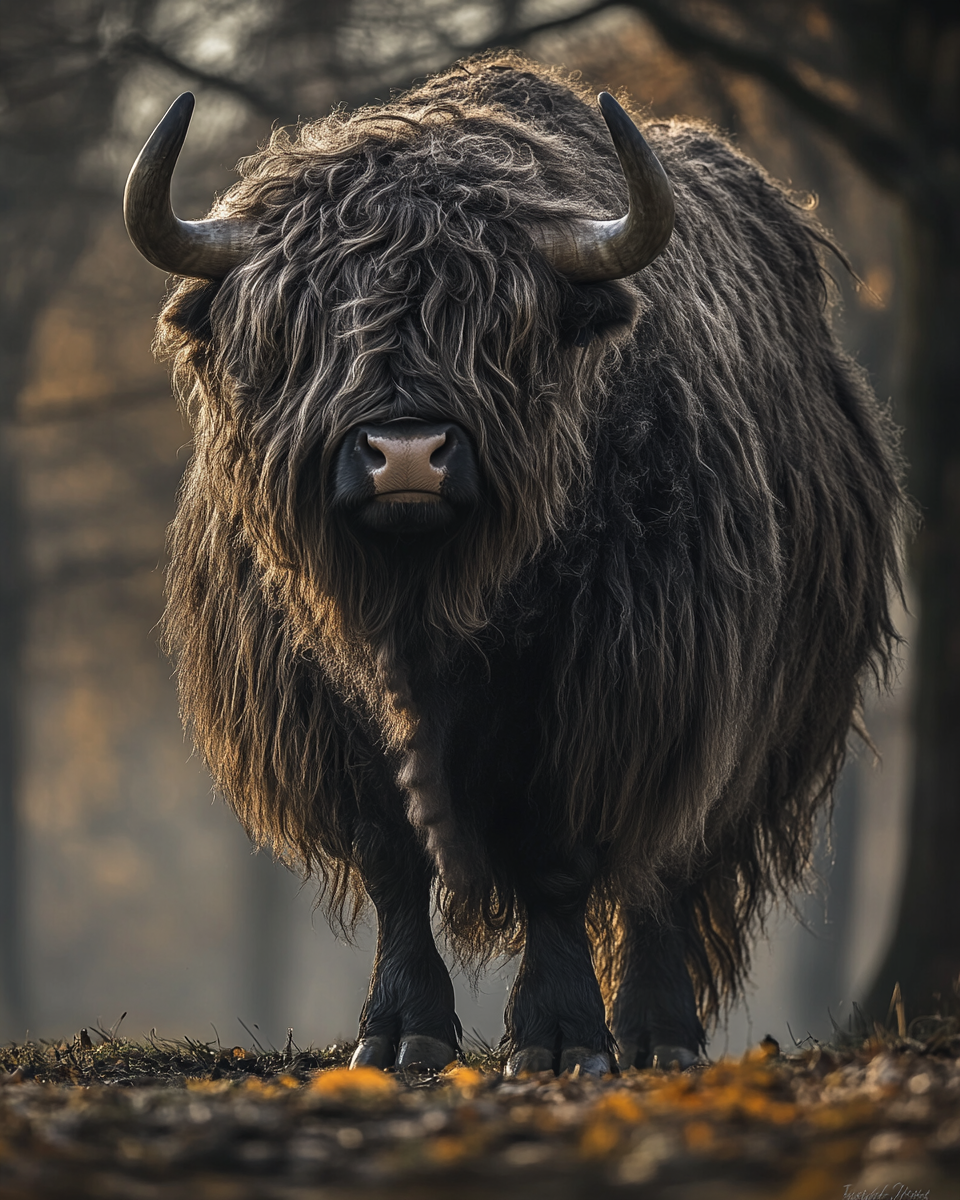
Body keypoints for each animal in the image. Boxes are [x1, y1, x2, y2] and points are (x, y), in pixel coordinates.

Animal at [123, 54, 902, 1080]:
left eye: (496, 325)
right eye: (308, 321)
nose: (405, 454)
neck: (427, 606)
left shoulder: (611, 696)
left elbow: (559, 858)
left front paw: (559, 1037)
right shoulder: (328, 715)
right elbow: (392, 860)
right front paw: (401, 1030)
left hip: (726, 719)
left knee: (662, 865)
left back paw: (659, 1034)